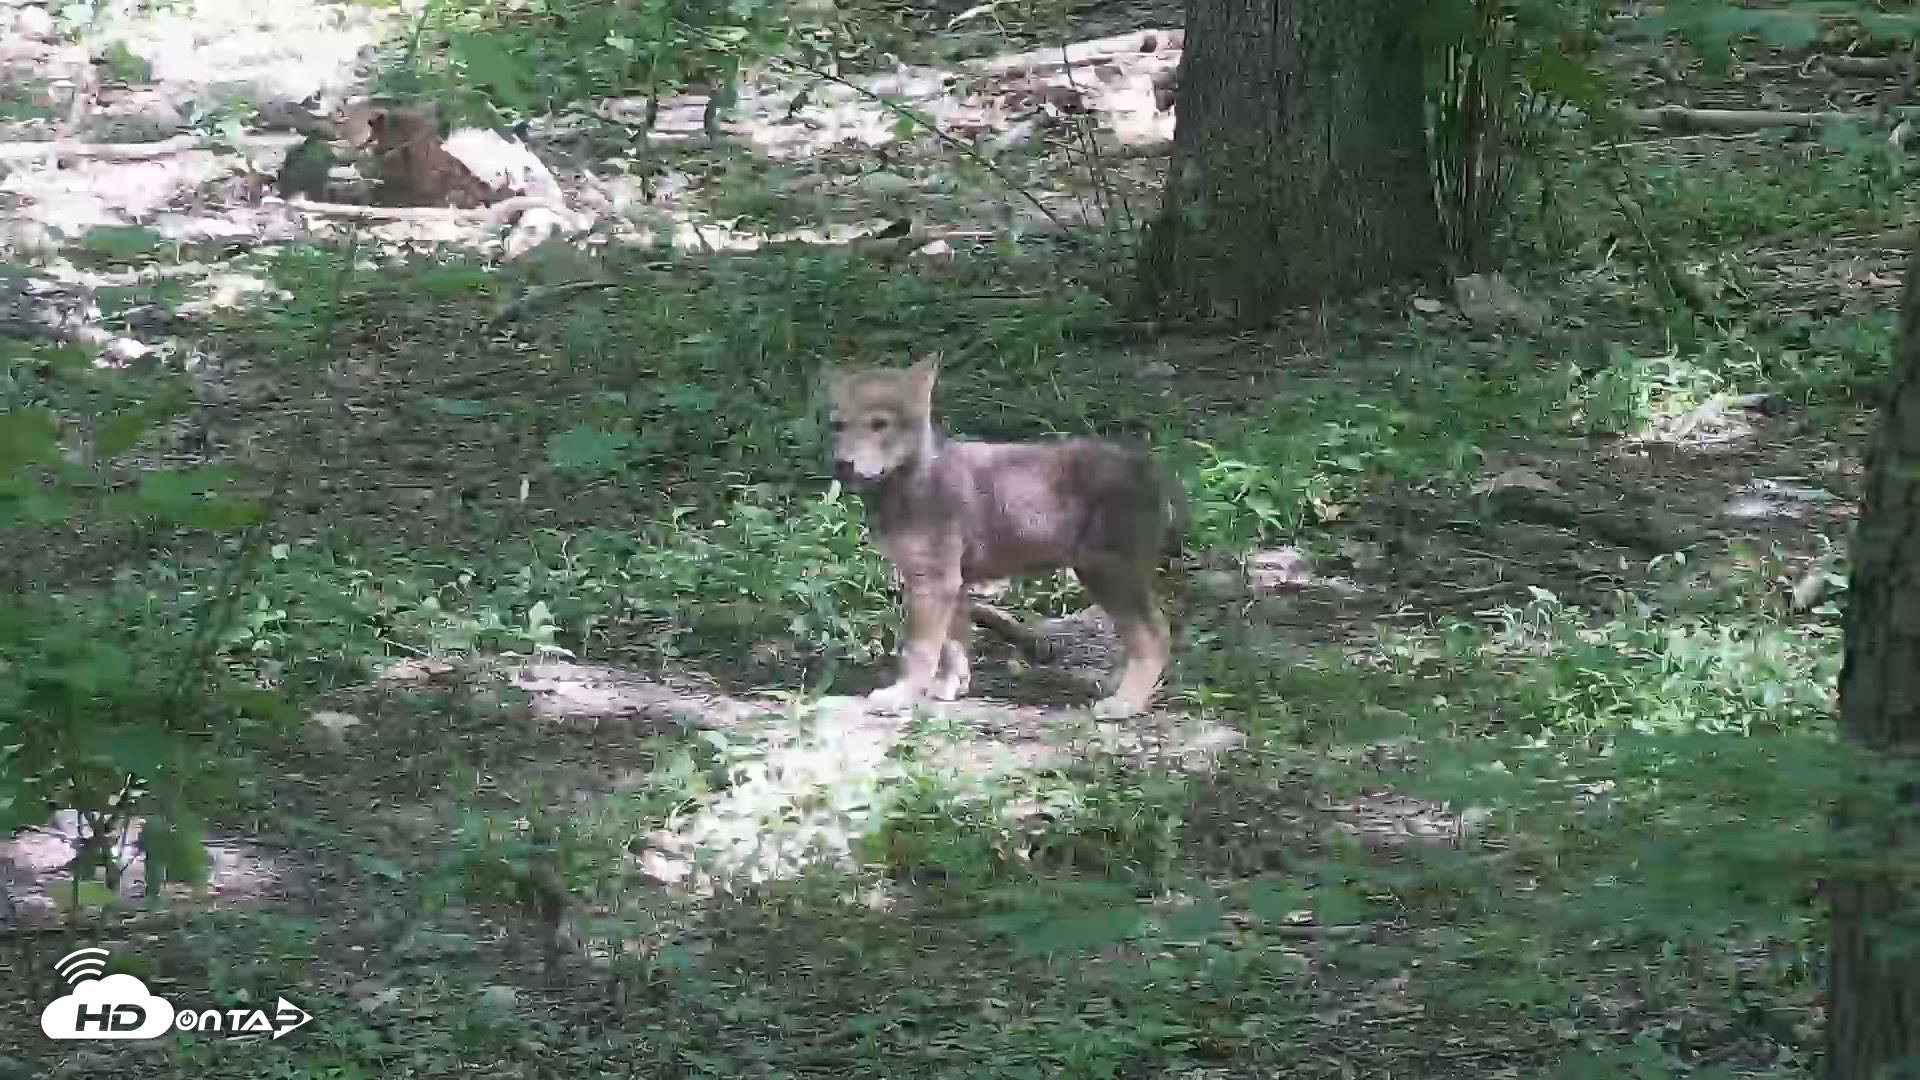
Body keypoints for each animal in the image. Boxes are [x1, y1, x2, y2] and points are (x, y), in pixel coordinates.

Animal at [820, 352, 1179, 719]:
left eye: (879, 424)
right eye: (837, 425)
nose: (842, 464)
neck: (911, 479)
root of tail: (1148, 470)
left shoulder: (932, 580)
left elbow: (919, 650)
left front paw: (900, 696)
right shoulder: (954, 583)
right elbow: (953, 643)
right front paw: (950, 687)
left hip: (1108, 573)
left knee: (1155, 636)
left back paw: (1126, 702)